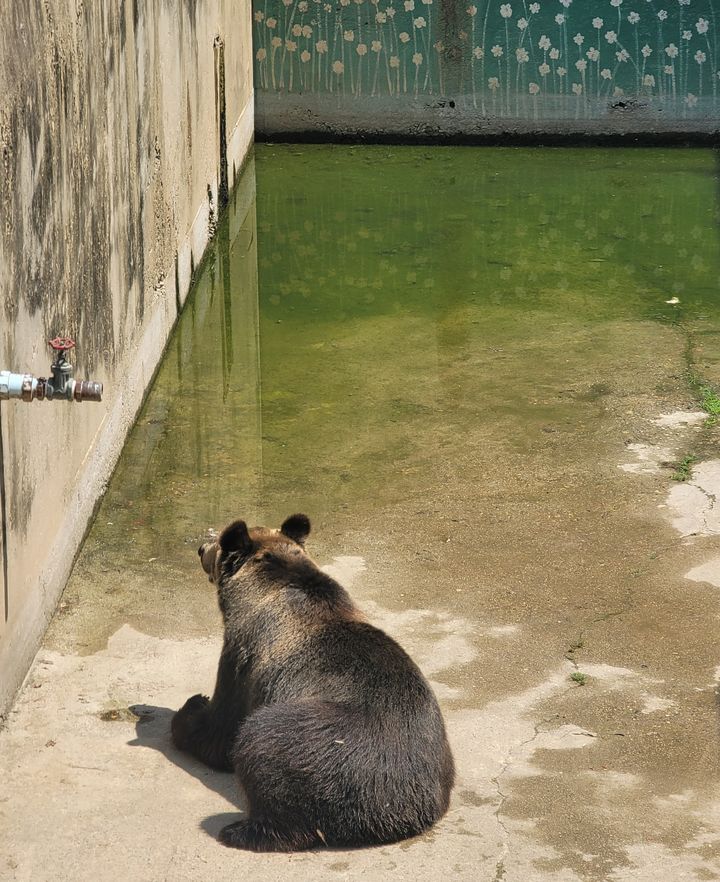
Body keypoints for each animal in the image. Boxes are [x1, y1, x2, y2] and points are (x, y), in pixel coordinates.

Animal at [172, 512, 456, 848]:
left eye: (216, 545)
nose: (201, 548)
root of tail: (409, 814)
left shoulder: (243, 655)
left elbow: (222, 725)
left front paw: (191, 708)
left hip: (326, 746)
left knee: (262, 743)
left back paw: (239, 830)